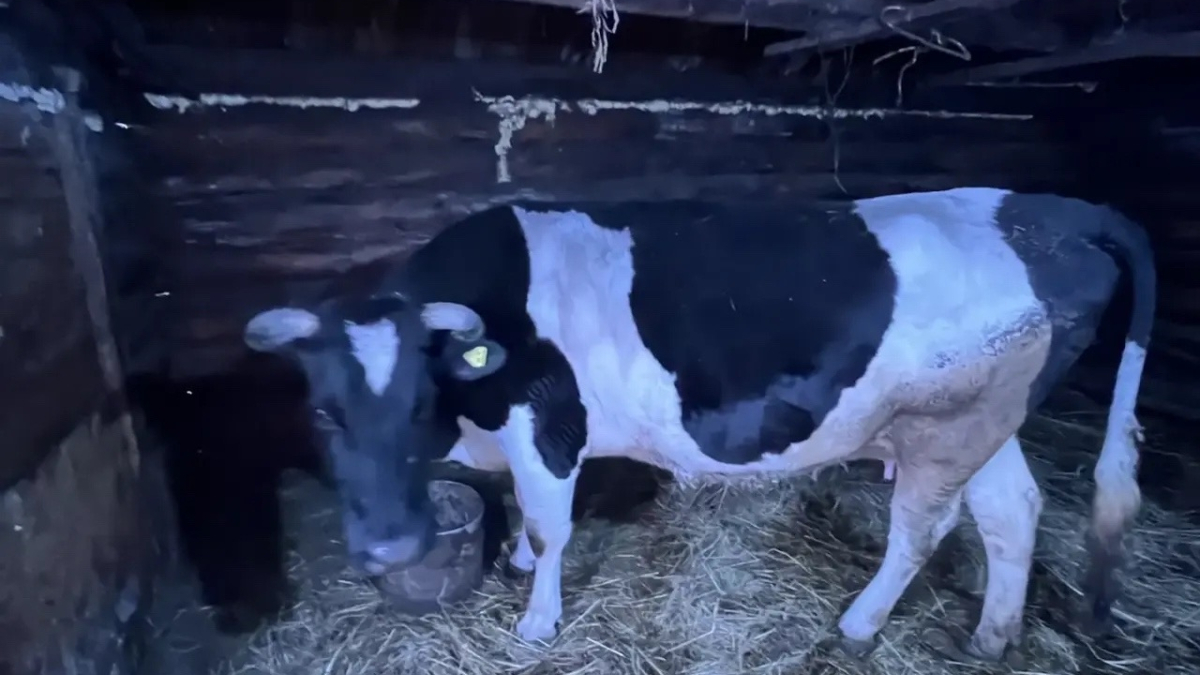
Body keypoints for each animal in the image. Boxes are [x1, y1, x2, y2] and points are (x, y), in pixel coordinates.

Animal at [242, 187, 1154, 662]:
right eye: (323, 411)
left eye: (417, 402)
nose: (390, 548)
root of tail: (1046, 209)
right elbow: (528, 525)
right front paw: (511, 567)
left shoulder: (549, 426)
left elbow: (547, 527)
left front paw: (537, 619)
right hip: (989, 423)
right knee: (1012, 511)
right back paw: (993, 636)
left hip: (948, 428)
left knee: (922, 531)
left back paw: (859, 625)